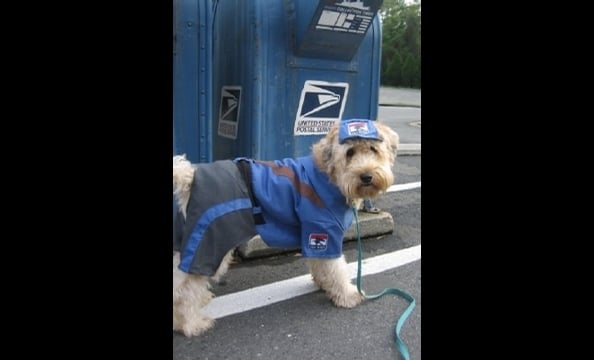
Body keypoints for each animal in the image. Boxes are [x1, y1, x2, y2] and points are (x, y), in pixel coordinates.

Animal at [173, 119, 400, 336]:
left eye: (373, 149)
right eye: (350, 152)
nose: (366, 176)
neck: (329, 177)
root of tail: (191, 176)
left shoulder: (313, 236)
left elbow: (321, 266)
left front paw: (323, 284)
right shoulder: (323, 233)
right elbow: (336, 269)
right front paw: (347, 295)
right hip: (209, 244)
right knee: (185, 288)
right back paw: (191, 324)